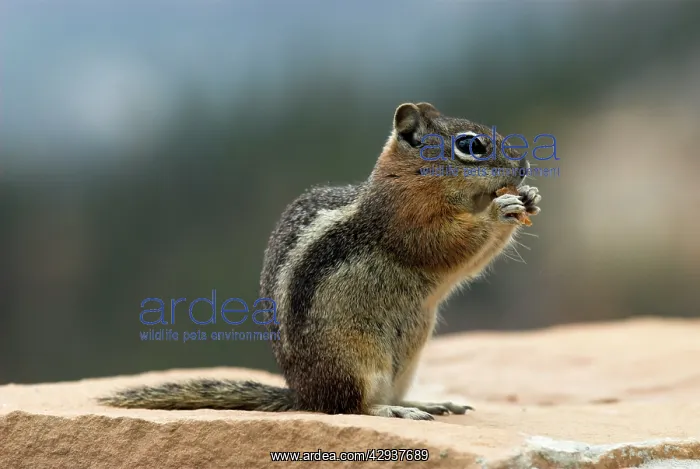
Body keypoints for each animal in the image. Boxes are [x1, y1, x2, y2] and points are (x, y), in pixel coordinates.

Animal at [98, 102, 541, 420]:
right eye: (471, 146)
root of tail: (303, 395)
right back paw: (392, 409)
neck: (410, 181)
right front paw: (500, 208)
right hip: (355, 359)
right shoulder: (408, 222)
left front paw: (530, 196)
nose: (524, 168)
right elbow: (451, 245)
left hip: (406, 362)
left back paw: (428, 403)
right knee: (350, 407)